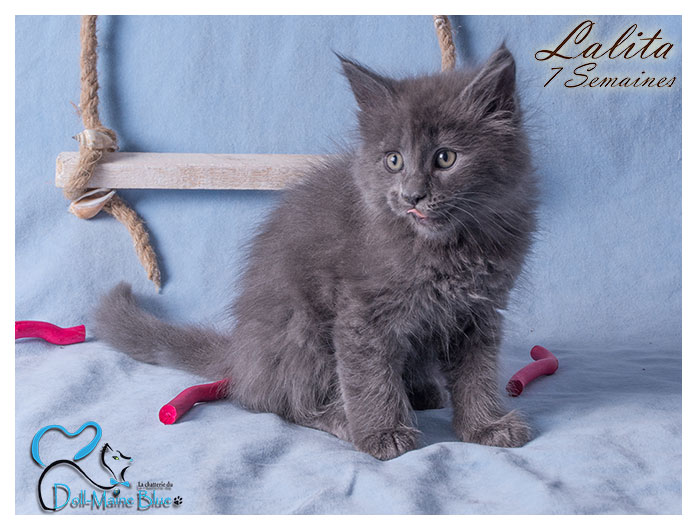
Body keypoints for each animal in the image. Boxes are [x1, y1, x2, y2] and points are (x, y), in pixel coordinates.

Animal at [94, 44, 537, 460]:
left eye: (445, 157)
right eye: (393, 161)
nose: (412, 196)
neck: (447, 248)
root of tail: (242, 354)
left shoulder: (481, 312)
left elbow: (477, 374)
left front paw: (486, 426)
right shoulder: (361, 312)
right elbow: (369, 376)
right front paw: (381, 433)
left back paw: (420, 391)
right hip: (301, 328)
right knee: (283, 402)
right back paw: (342, 419)